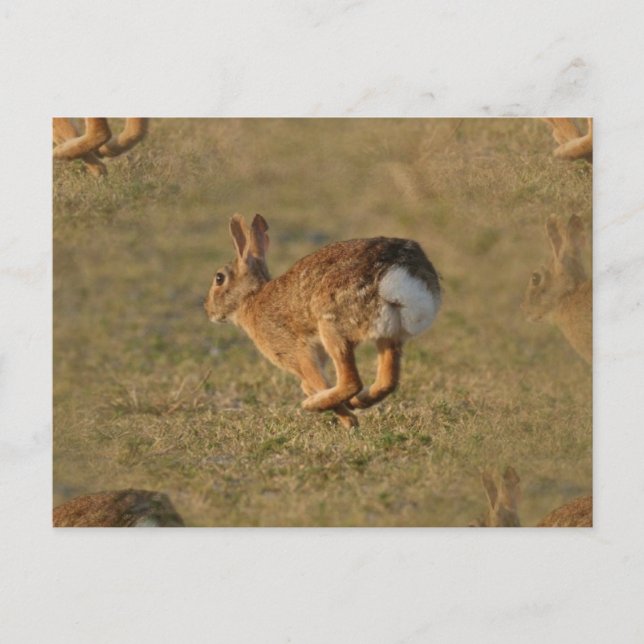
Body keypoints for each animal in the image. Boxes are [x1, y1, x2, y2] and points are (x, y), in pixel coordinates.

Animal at [204, 213, 441, 428]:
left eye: (219, 278)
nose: (208, 311)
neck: (250, 297)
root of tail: (399, 275)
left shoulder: (296, 354)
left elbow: (314, 382)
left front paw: (348, 420)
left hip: (331, 327)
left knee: (350, 382)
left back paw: (313, 405)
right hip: (389, 333)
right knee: (387, 381)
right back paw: (359, 401)